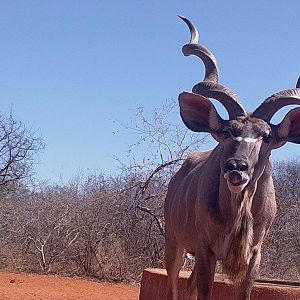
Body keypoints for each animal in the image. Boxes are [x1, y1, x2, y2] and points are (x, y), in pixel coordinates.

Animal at [164, 15, 300, 298]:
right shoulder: (206, 249)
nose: (236, 167)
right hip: (174, 243)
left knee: (188, 286)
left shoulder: (253, 256)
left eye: (266, 137)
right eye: (227, 132)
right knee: (175, 287)